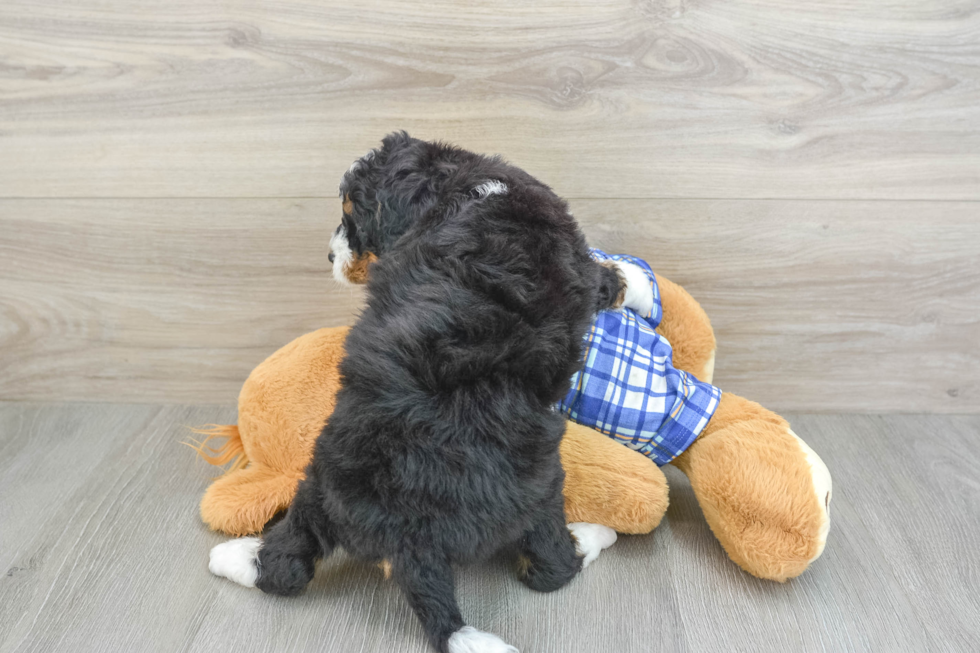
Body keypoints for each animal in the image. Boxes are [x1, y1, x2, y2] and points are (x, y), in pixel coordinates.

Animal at [212, 134, 628, 652]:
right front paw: (624, 279)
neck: (467, 188)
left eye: (353, 218)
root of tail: (412, 538)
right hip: (538, 491)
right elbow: (601, 278)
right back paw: (595, 534)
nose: (330, 257)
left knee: (288, 563)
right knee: (551, 566)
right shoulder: (576, 263)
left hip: (325, 486)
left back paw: (234, 557)